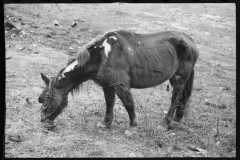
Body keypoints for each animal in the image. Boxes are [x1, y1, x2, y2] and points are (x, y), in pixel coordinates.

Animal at [38, 29, 199, 130]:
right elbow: (109, 103)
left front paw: (132, 126)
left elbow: (128, 104)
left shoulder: (121, 85)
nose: (43, 120)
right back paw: (177, 120)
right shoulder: (107, 85)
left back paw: (165, 123)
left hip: (179, 78)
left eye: (46, 98)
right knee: (182, 98)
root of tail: (191, 41)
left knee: (175, 98)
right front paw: (106, 123)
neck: (102, 54)